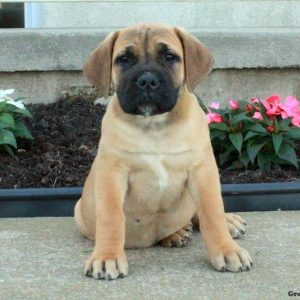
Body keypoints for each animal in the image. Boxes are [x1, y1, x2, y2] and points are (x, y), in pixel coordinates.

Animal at [74, 24, 252, 282]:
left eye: (169, 57)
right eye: (124, 59)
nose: (147, 80)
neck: (154, 125)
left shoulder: (202, 171)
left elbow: (212, 212)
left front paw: (227, 250)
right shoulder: (111, 173)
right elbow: (111, 217)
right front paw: (107, 257)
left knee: (197, 212)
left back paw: (222, 223)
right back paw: (177, 233)